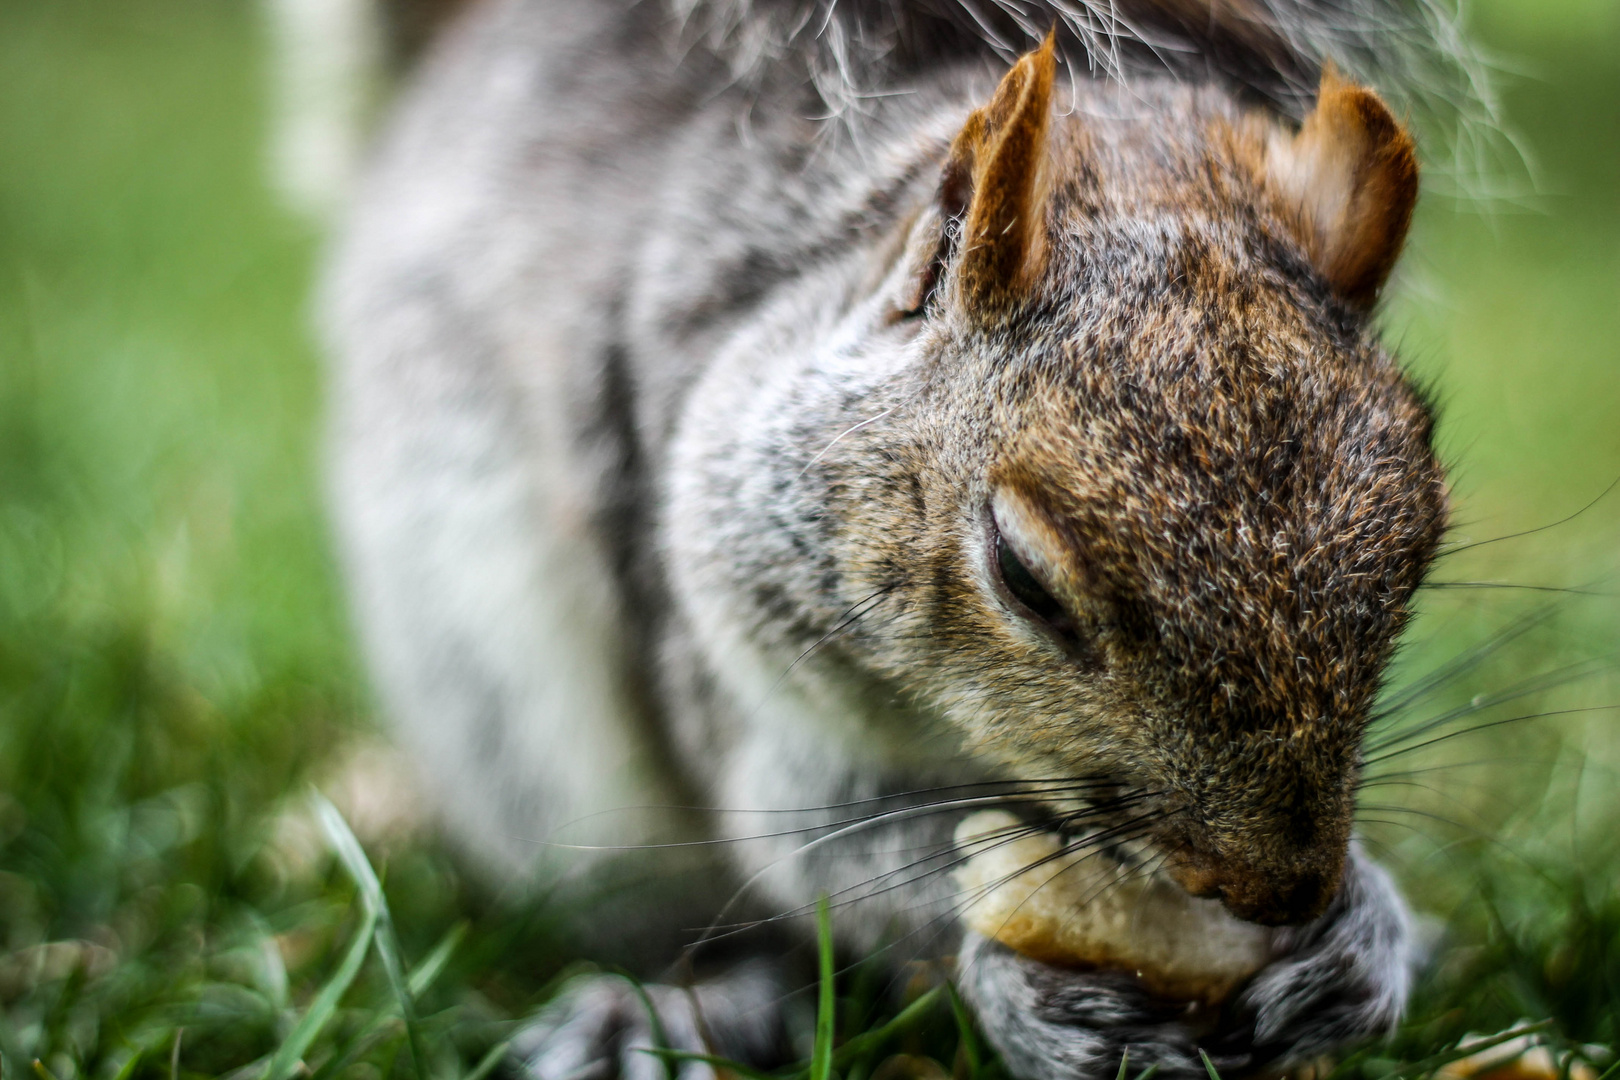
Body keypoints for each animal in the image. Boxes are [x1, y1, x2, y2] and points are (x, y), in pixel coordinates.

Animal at [322, 0, 1464, 1075]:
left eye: (1417, 555)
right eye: (1024, 578)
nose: (1279, 891)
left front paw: (1365, 939)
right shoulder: (741, 679)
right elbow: (832, 856)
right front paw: (1023, 992)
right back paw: (678, 1015)